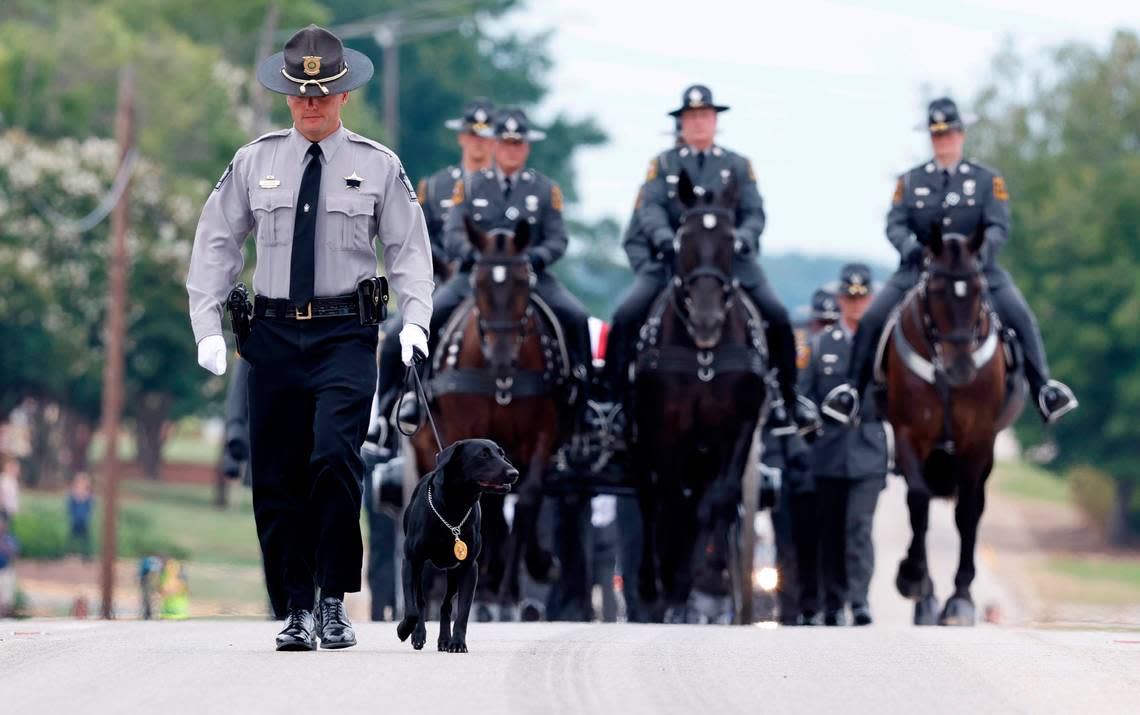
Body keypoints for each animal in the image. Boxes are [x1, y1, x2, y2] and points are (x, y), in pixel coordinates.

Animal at [394, 440, 515, 652]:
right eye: (483, 455)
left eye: (501, 454)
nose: (514, 473)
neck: (454, 507)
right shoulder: (411, 560)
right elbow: (412, 609)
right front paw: (404, 630)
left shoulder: (469, 567)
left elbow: (463, 613)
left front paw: (457, 643)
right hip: (424, 570)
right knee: (421, 601)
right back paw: (418, 635)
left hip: (453, 573)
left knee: (445, 606)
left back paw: (444, 640)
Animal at [412, 215, 567, 620]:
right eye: (478, 283)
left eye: (524, 281)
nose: (501, 360)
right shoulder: (472, 435)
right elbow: (492, 509)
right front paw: (489, 593)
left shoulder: (541, 436)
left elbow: (527, 499)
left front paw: (512, 589)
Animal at [629, 171, 770, 624]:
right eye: (682, 240)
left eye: (730, 241)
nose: (707, 320)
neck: (704, 355)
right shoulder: (664, 431)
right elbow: (673, 505)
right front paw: (669, 593)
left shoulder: (739, 430)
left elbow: (716, 504)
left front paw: (694, 584)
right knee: (652, 501)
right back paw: (651, 587)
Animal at [884, 223, 1021, 624]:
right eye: (936, 291)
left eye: (978, 289)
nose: (961, 369)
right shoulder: (909, 434)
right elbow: (918, 502)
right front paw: (914, 579)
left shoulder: (977, 440)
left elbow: (967, 513)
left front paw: (960, 599)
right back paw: (926, 597)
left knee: (972, 508)